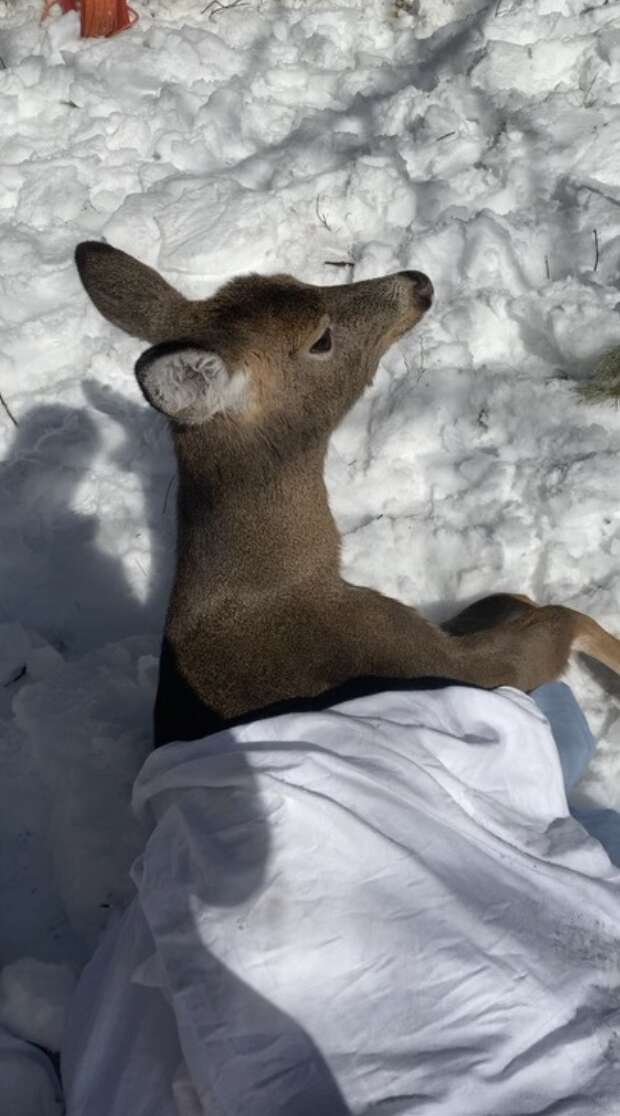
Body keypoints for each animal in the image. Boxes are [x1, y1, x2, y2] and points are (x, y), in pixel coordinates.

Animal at [73, 244, 620, 749]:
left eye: (293, 279)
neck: (281, 585)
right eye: (321, 339)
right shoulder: (429, 661)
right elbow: (560, 623)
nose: (418, 282)